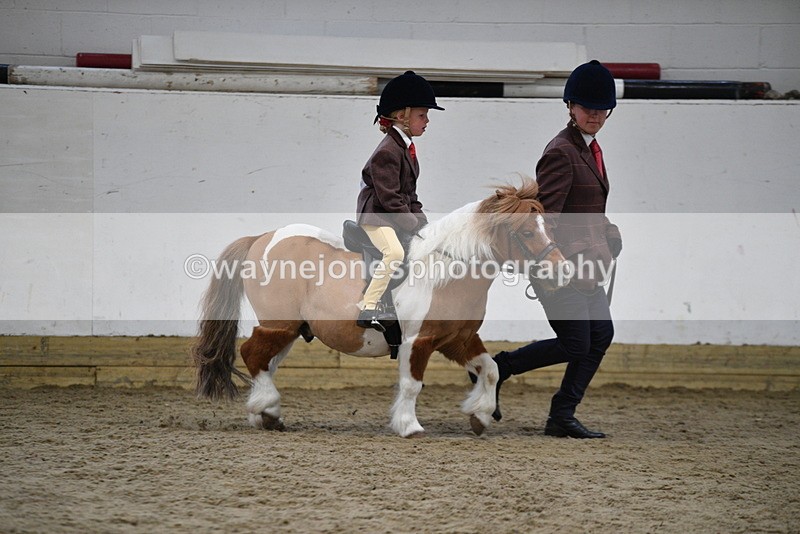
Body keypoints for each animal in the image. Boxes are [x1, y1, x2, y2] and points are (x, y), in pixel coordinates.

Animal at [191, 179, 571, 437]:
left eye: (550, 227)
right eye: (526, 232)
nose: (564, 272)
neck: (448, 270)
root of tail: (261, 238)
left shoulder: (457, 340)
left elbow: (490, 369)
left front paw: (479, 415)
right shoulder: (417, 341)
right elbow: (412, 384)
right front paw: (408, 425)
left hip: (291, 330)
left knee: (265, 362)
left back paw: (265, 413)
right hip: (278, 324)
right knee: (251, 353)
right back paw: (265, 408)